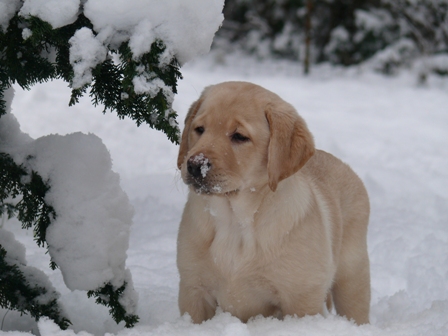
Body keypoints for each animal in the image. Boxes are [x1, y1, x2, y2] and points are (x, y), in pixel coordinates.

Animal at [177, 81, 370, 326]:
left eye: (239, 136)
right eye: (199, 129)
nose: (194, 165)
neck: (235, 220)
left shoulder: (301, 299)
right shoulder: (193, 290)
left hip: (352, 276)